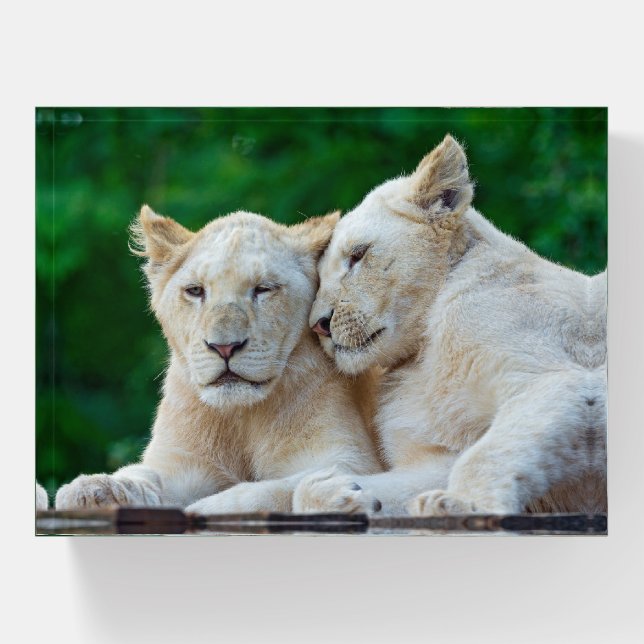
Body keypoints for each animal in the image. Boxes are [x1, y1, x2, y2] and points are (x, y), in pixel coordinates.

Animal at [55, 206, 382, 514]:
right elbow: (143, 476)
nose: (224, 347)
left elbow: (265, 490)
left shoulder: (346, 456)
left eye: (263, 289)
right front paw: (93, 488)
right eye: (195, 291)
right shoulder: (180, 463)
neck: (239, 417)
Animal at [307, 134, 607, 516]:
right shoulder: (435, 454)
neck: (423, 355)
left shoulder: (560, 380)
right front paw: (336, 493)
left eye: (358, 255)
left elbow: (488, 454)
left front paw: (461, 506)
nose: (318, 325)